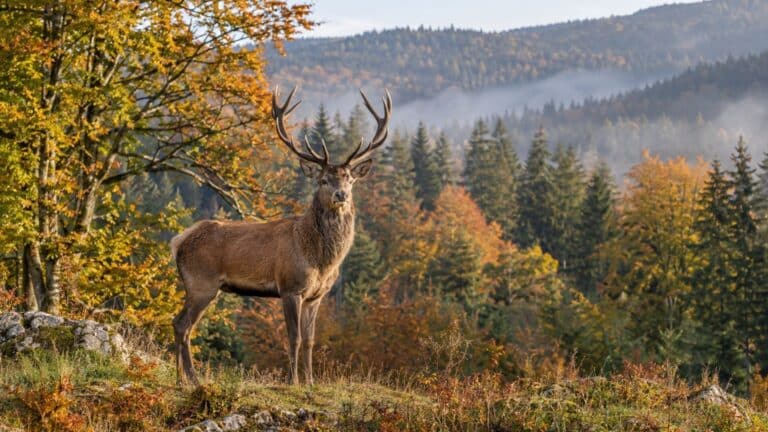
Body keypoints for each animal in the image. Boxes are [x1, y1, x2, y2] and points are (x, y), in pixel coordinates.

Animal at [170, 86, 391, 386]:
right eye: (323, 180)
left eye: (350, 179)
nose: (341, 194)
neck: (320, 260)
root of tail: (178, 242)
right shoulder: (290, 286)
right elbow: (294, 338)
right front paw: (293, 381)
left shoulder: (315, 296)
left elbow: (310, 340)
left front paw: (311, 382)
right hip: (201, 283)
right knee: (183, 325)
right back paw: (193, 378)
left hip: (196, 286)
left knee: (177, 322)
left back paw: (180, 377)